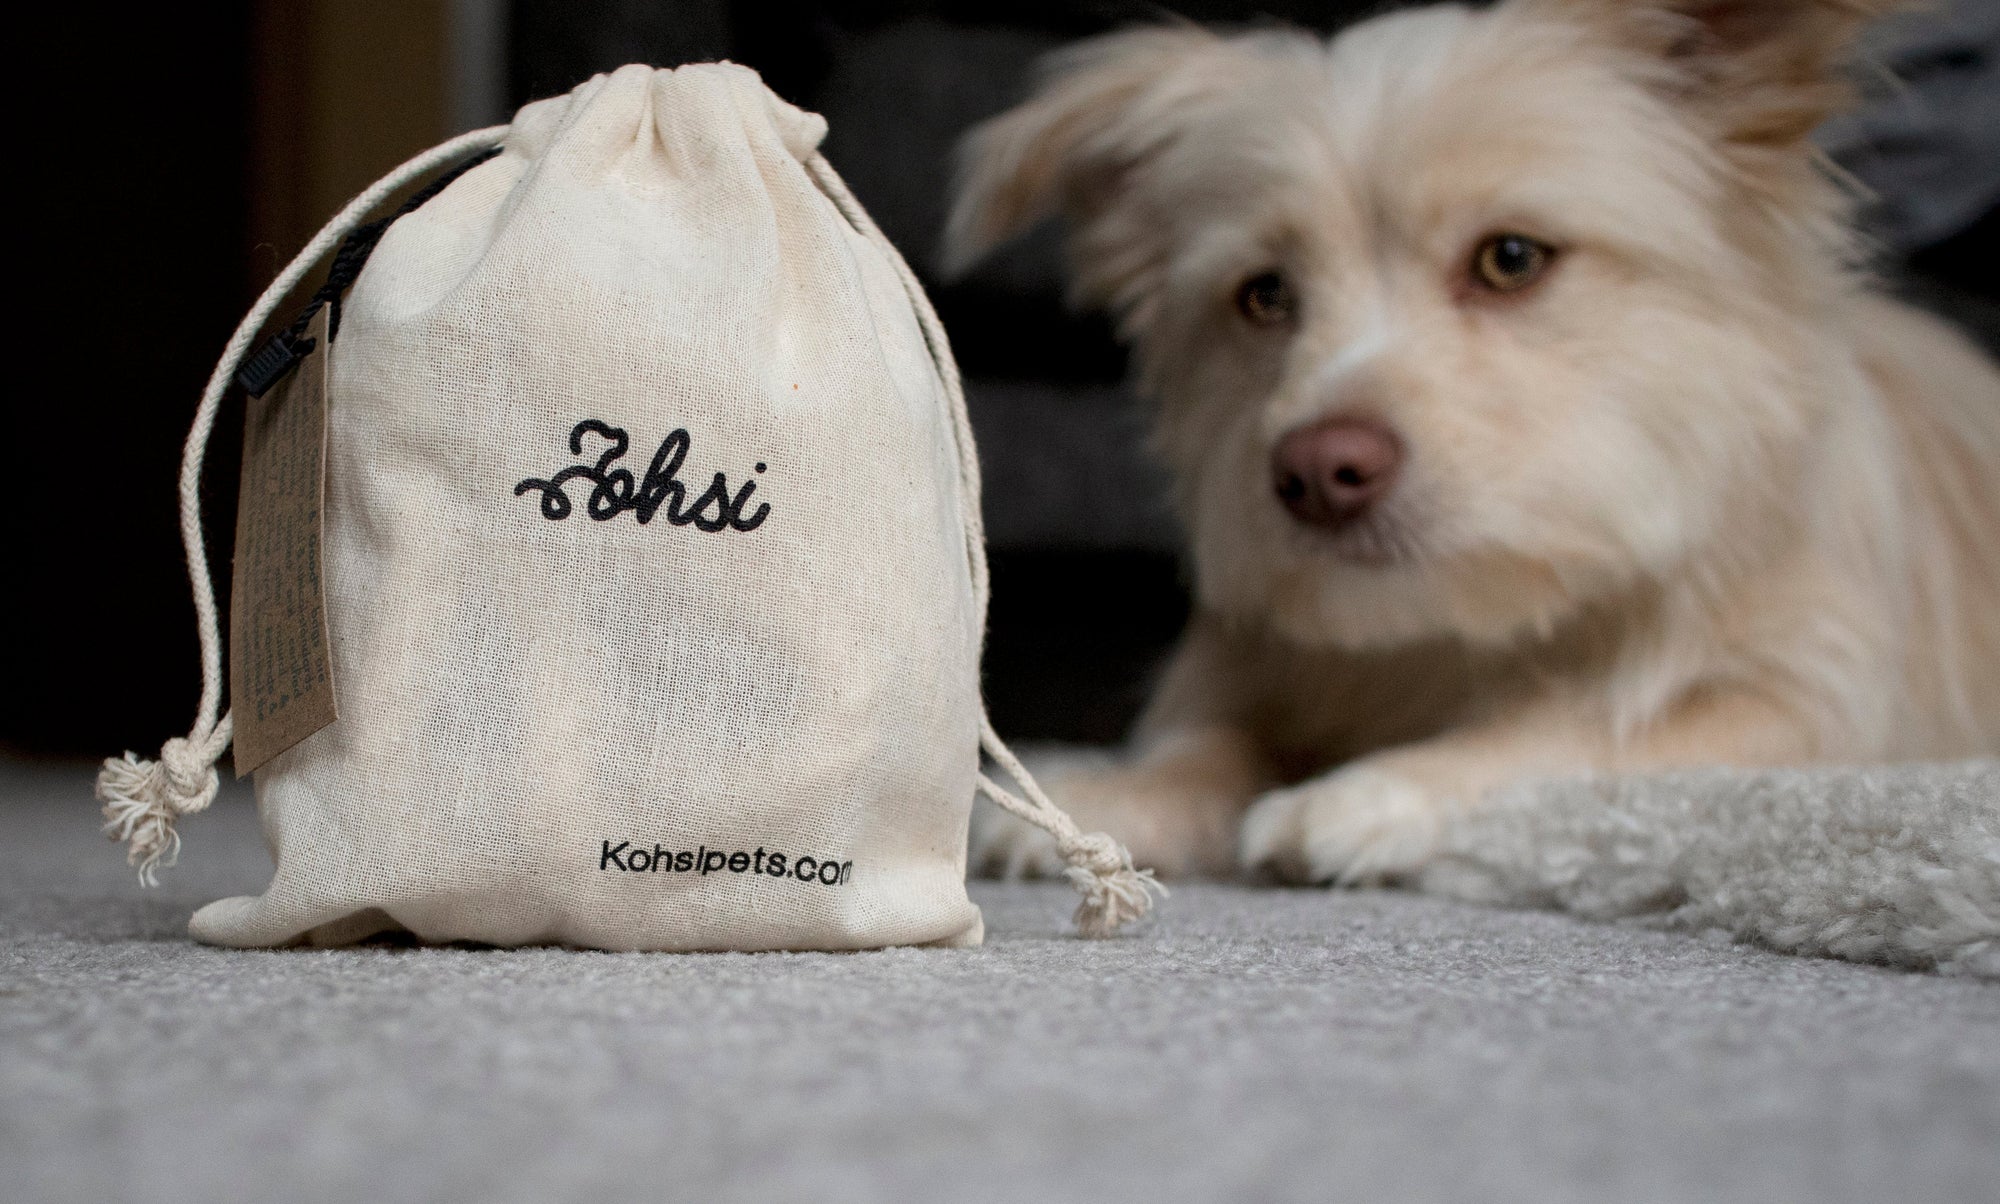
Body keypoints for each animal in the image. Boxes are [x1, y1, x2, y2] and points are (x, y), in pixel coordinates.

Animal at [948, 0, 2000, 880]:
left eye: (1511, 260)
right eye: (1265, 296)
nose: (1319, 473)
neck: (1455, 633)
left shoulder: (1808, 698)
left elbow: (1574, 729)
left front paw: (1369, 793)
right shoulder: (1243, 669)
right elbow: (1203, 742)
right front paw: (1109, 798)